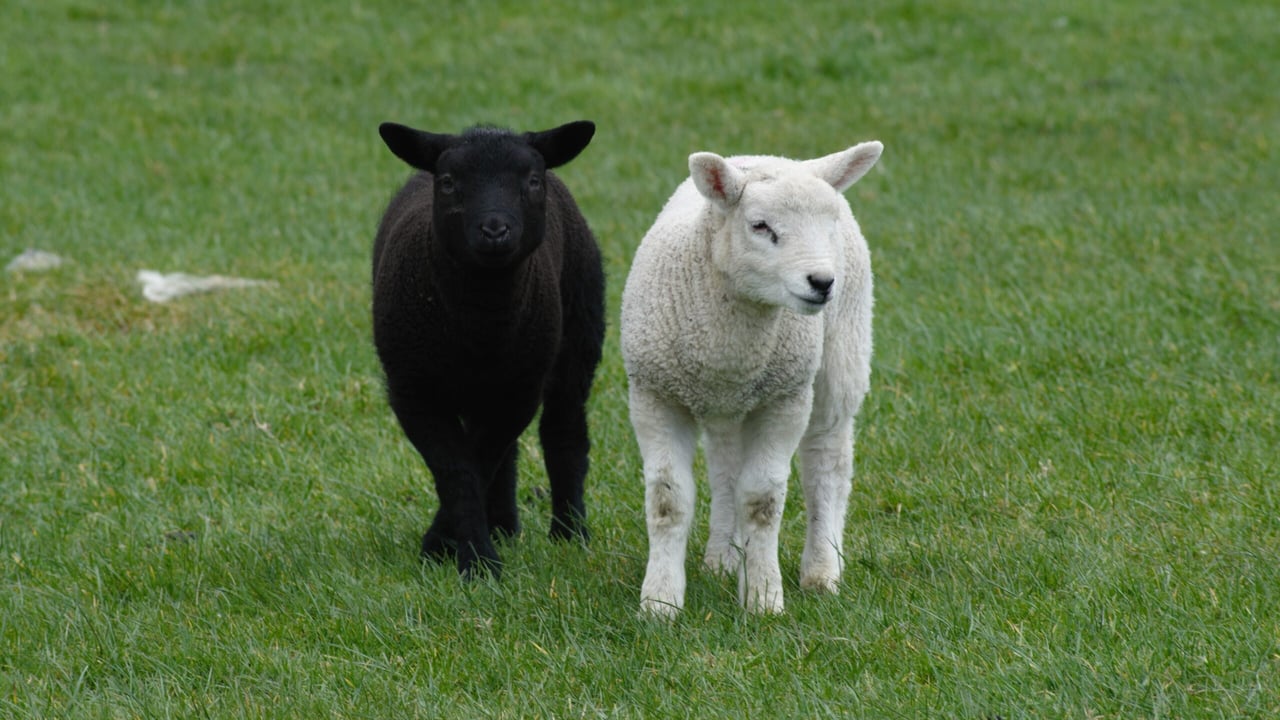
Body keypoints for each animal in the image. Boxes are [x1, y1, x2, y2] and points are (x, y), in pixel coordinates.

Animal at [372, 120, 605, 579]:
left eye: (532, 181)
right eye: (448, 182)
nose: (495, 230)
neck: (481, 327)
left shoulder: (520, 389)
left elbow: (477, 462)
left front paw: (457, 551)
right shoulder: (413, 390)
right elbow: (458, 468)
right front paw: (471, 556)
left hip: (579, 334)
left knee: (564, 432)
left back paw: (569, 533)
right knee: (508, 454)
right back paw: (504, 526)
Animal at [620, 140, 883, 616]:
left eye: (829, 224)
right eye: (760, 226)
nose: (822, 282)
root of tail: (777, 157)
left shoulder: (785, 398)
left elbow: (762, 500)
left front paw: (763, 598)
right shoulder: (654, 395)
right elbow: (668, 500)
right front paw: (660, 603)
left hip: (842, 352)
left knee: (828, 458)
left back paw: (822, 570)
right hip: (726, 404)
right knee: (725, 467)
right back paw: (722, 558)